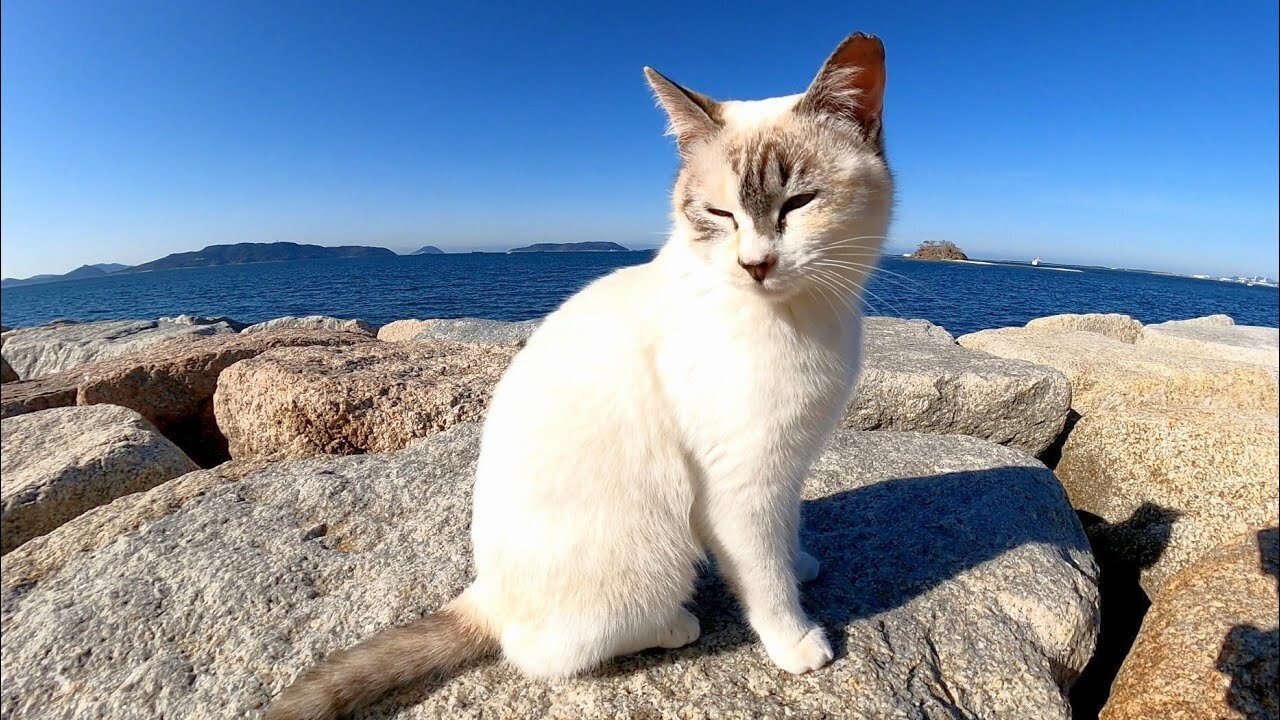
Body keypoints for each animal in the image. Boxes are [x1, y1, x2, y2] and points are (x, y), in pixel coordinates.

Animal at [267, 33, 890, 717]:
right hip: (652, 557)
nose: (755, 264)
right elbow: (765, 579)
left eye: (799, 203)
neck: (810, 315)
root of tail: (483, 593)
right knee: (543, 653)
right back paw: (676, 625)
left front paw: (801, 560)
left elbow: (789, 531)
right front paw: (798, 642)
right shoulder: (740, 484)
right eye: (719, 213)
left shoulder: (789, 464)